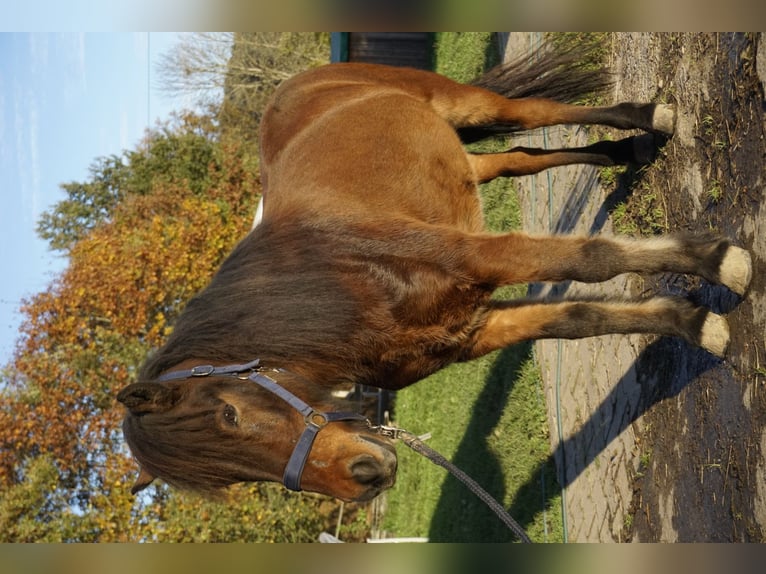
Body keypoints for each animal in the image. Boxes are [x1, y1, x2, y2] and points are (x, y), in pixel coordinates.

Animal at [117, 45, 752, 504]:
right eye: (235, 476)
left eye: (230, 413)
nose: (365, 476)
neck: (347, 277)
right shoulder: (474, 330)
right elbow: (579, 319)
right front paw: (693, 325)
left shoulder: (475, 256)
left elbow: (589, 260)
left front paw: (722, 263)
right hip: (463, 162)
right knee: (518, 159)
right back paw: (618, 156)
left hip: (462, 104)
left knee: (536, 115)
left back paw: (651, 119)